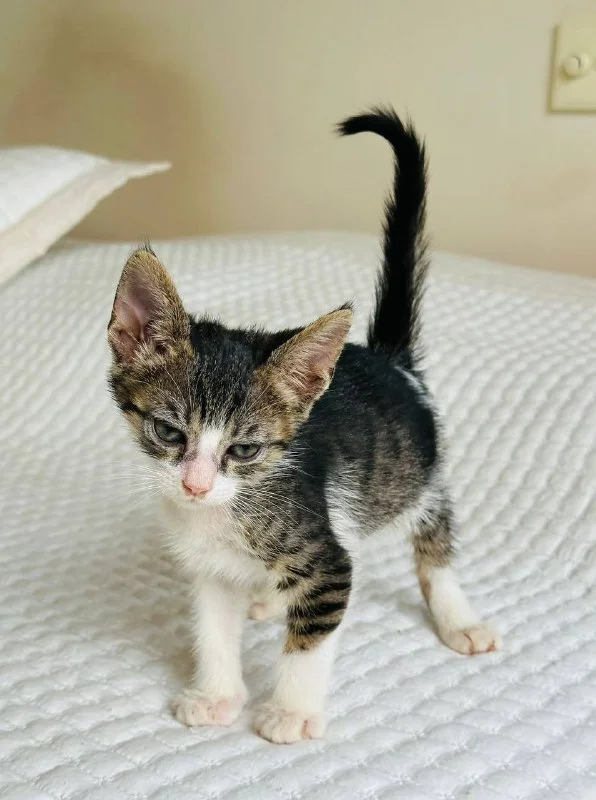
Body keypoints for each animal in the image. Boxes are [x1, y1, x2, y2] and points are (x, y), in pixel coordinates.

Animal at [107, 107, 500, 744]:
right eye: (168, 433)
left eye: (244, 449)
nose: (195, 485)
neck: (226, 511)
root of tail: (389, 359)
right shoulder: (209, 568)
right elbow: (213, 629)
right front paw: (216, 696)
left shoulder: (326, 560)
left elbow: (313, 634)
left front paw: (289, 711)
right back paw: (268, 601)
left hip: (416, 479)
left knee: (434, 541)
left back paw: (457, 617)